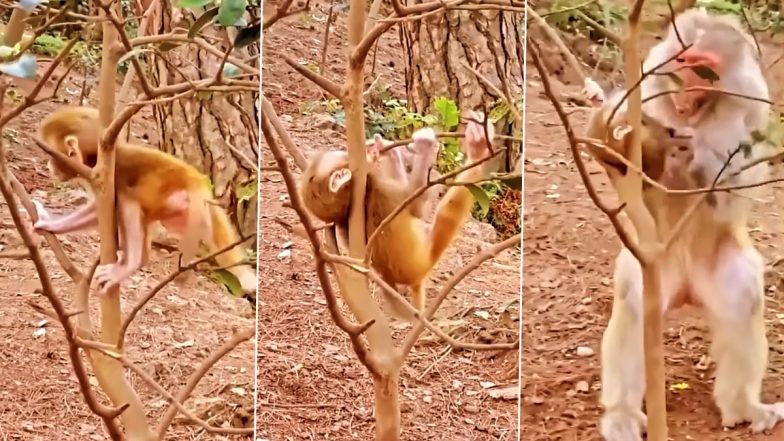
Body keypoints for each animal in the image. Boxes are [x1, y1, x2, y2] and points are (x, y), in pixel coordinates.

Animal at [32, 106, 257, 296]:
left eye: (52, 156)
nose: (49, 166)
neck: (97, 159)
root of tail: (196, 181)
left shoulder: (109, 176)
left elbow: (113, 204)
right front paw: (51, 224)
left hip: (174, 195)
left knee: (128, 199)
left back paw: (132, 262)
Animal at [298, 116, 493, 317]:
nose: (345, 150)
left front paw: (388, 151)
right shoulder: (381, 193)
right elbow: (417, 206)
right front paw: (424, 147)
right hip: (424, 261)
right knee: (448, 212)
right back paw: (478, 149)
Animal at [583, 9, 784, 441]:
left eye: (703, 68)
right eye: (683, 62)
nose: (686, 87)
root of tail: (688, 288)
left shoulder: (753, 106)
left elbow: (734, 191)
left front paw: (701, 156)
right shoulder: (647, 90)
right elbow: (632, 168)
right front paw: (607, 118)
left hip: (720, 268)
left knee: (743, 298)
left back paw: (742, 407)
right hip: (651, 267)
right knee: (635, 308)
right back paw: (623, 414)